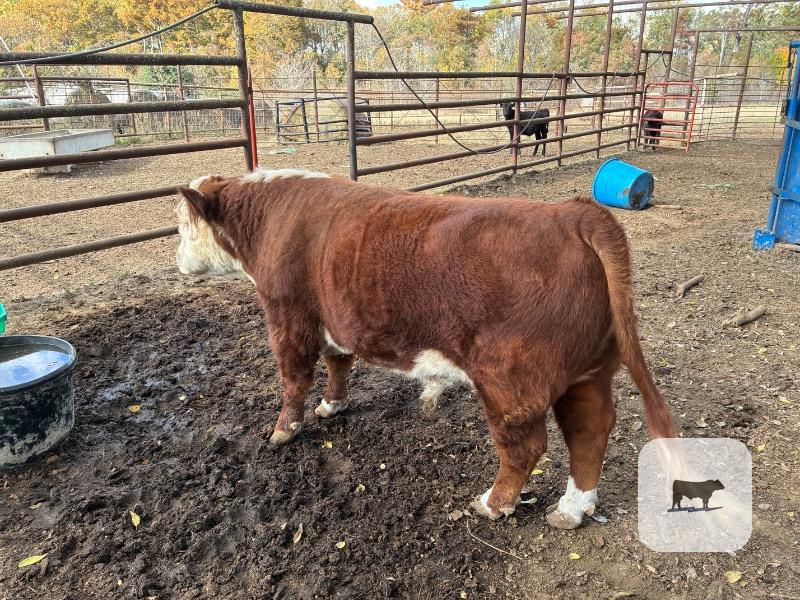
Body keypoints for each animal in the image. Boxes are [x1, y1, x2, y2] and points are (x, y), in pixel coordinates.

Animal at [175, 168, 675, 528]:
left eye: (181, 227)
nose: (178, 263)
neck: (270, 218)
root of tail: (572, 214)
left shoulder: (288, 316)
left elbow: (293, 378)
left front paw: (284, 430)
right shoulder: (335, 319)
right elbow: (338, 364)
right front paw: (332, 405)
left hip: (510, 379)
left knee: (525, 445)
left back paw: (492, 504)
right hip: (587, 373)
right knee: (590, 431)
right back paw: (571, 510)